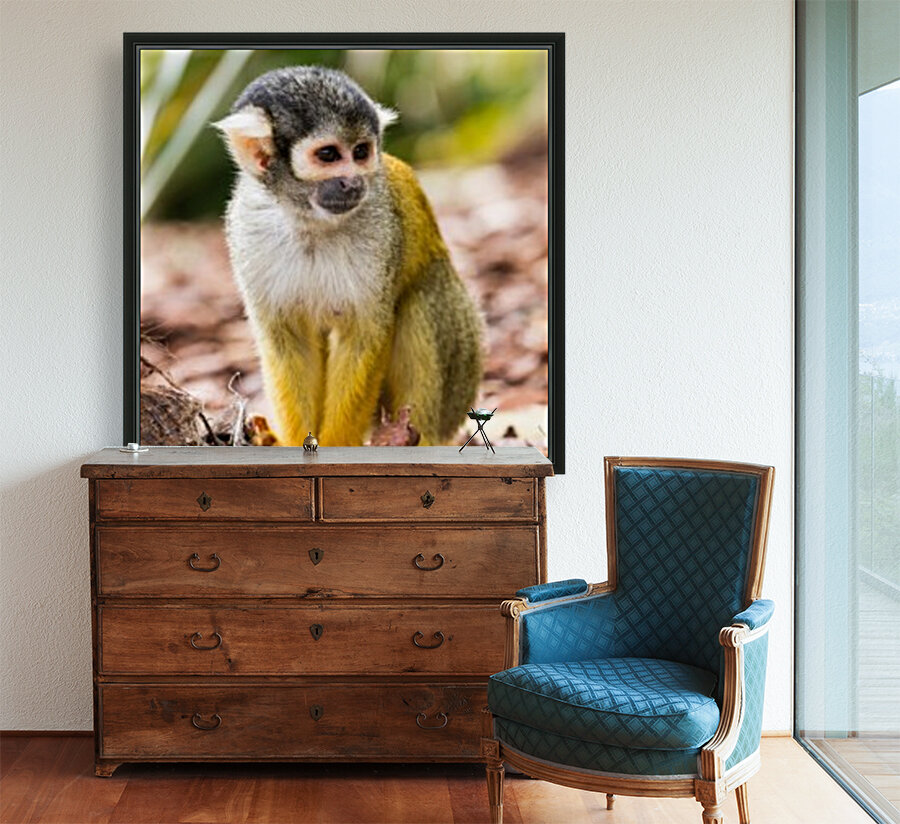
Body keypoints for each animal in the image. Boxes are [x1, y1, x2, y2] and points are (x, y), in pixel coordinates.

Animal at [214, 66, 483, 447]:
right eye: (328, 155)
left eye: (361, 152)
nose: (353, 182)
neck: (310, 221)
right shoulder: (248, 229)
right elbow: (289, 341)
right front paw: (295, 441)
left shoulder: (381, 231)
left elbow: (363, 335)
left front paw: (335, 444)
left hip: (463, 374)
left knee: (421, 298)